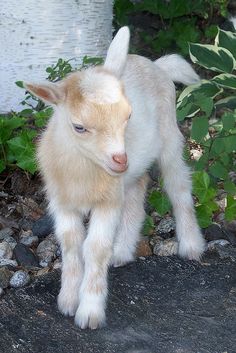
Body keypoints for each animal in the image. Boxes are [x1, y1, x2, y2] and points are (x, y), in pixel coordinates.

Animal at [25, 26, 205, 328]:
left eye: (128, 116)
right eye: (79, 127)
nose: (120, 159)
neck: (83, 170)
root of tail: (156, 65)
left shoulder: (107, 201)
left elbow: (95, 248)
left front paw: (89, 312)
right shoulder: (62, 201)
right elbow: (71, 245)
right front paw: (68, 301)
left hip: (170, 138)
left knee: (179, 188)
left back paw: (191, 246)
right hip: (131, 173)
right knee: (137, 190)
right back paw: (121, 252)